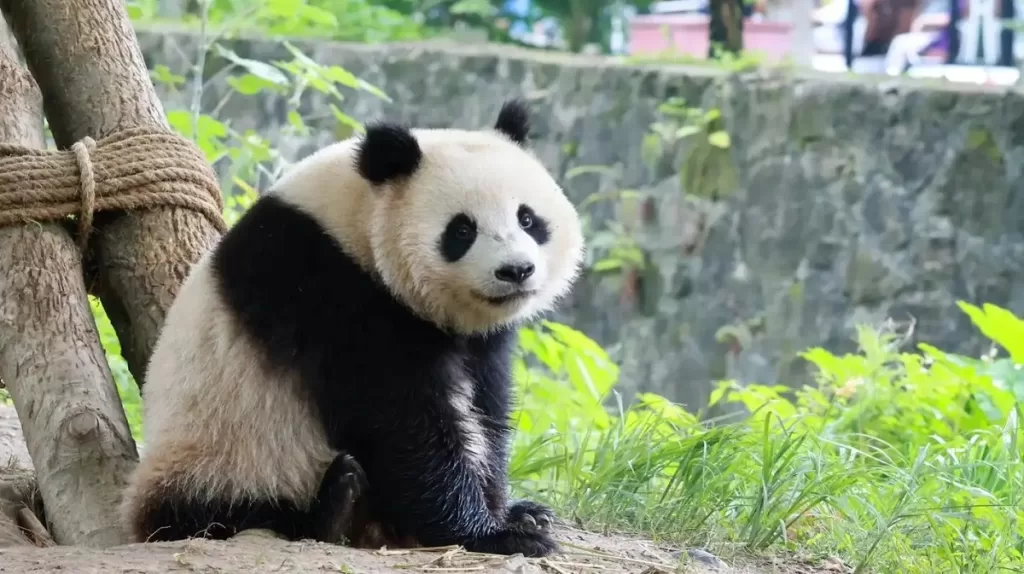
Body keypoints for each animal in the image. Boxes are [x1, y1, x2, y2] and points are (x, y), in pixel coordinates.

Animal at [120, 99, 586, 558]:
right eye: (462, 230)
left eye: (528, 219)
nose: (516, 271)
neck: (353, 221)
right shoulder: (329, 291)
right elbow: (402, 421)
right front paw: (491, 533)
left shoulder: (480, 338)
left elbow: (485, 405)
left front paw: (513, 513)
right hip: (223, 456)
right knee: (227, 512)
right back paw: (335, 505)